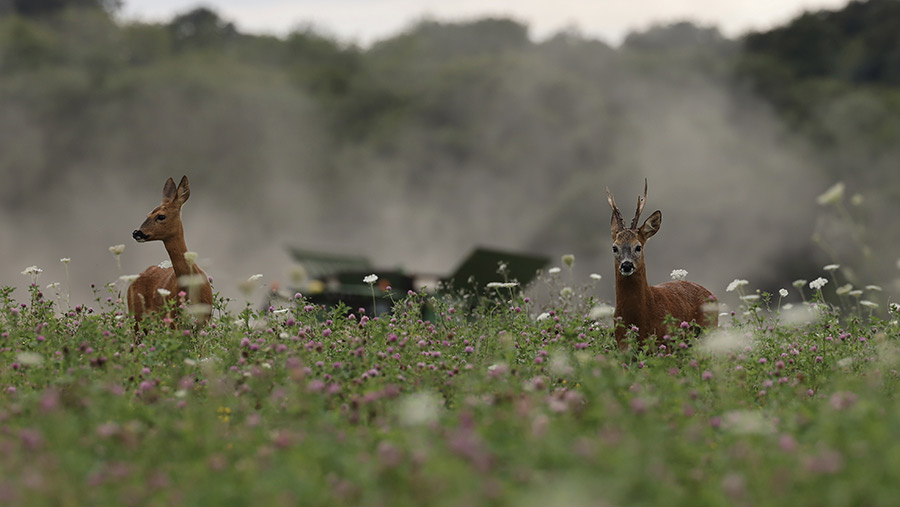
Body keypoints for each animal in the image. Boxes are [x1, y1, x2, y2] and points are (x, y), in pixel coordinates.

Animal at [126, 177, 213, 328]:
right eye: (148, 214)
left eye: (161, 216)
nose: (137, 232)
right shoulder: (173, 319)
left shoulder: (204, 320)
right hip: (136, 316)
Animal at [604, 181, 716, 352]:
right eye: (614, 248)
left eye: (638, 247)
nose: (627, 265)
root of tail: (712, 295)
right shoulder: (622, 346)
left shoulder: (664, 343)